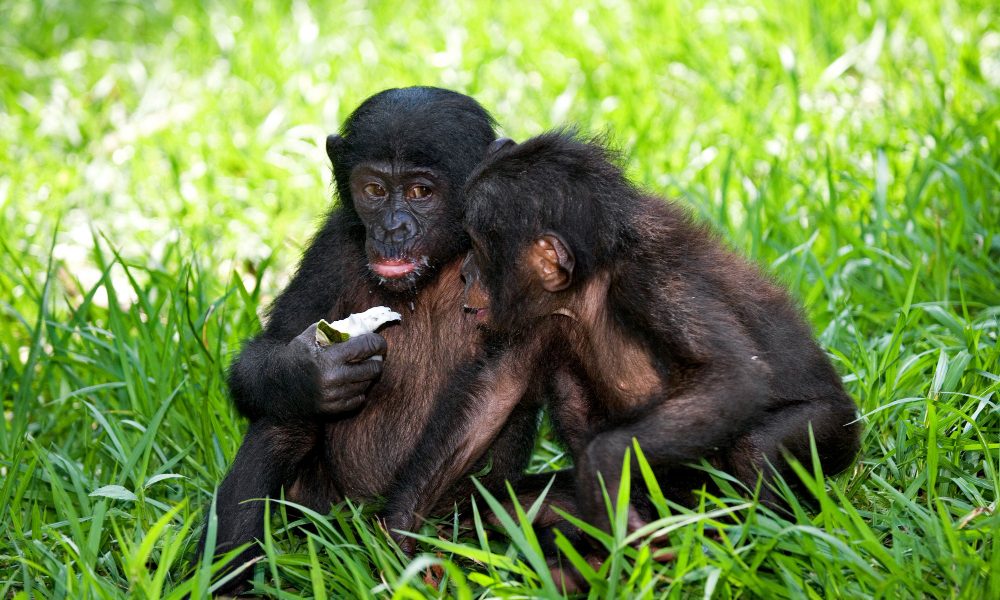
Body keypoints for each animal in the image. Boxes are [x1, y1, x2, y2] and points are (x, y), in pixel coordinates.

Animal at [199, 88, 545, 592]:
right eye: (375, 191)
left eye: (421, 192)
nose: (393, 227)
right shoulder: (331, 249)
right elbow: (264, 356)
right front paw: (312, 372)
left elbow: (490, 397)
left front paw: (397, 548)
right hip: (314, 508)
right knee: (282, 421)